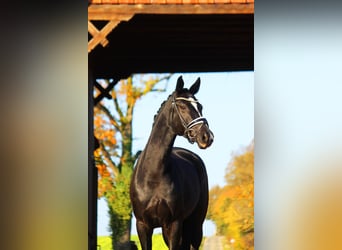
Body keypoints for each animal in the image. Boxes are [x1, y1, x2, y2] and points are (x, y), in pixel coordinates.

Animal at [130, 76, 212, 250]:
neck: (153, 174)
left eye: (200, 106)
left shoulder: (173, 224)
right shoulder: (143, 225)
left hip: (195, 224)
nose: (206, 137)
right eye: (182, 106)